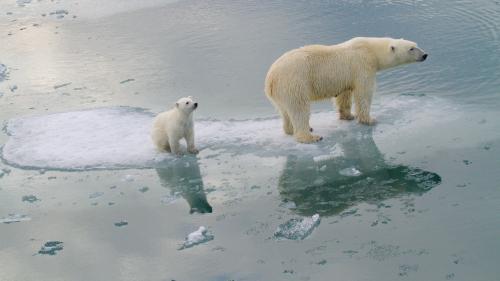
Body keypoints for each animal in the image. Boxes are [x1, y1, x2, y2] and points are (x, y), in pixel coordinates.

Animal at [264, 36, 428, 142]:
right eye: (411, 48)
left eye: (416, 44)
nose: (425, 55)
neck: (371, 50)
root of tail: (270, 78)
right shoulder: (362, 66)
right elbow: (364, 93)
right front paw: (370, 119)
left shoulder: (346, 77)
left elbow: (344, 95)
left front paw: (348, 116)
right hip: (295, 82)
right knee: (299, 108)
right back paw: (310, 136)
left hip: (280, 92)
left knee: (285, 111)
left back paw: (291, 130)